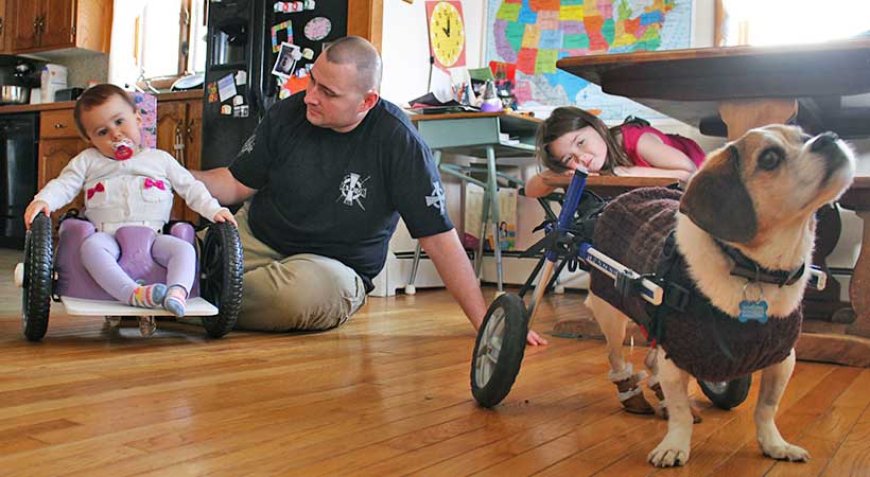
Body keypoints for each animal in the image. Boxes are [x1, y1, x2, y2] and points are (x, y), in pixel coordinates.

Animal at [584, 124, 860, 466]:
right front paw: (675, 445)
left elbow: (766, 408)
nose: (830, 137)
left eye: (805, 136)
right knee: (617, 357)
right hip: (612, 316)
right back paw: (633, 394)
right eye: (769, 158)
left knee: (650, 361)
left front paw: (774, 444)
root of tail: (621, 197)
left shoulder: (782, 359)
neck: (754, 270)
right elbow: (680, 412)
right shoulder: (677, 356)